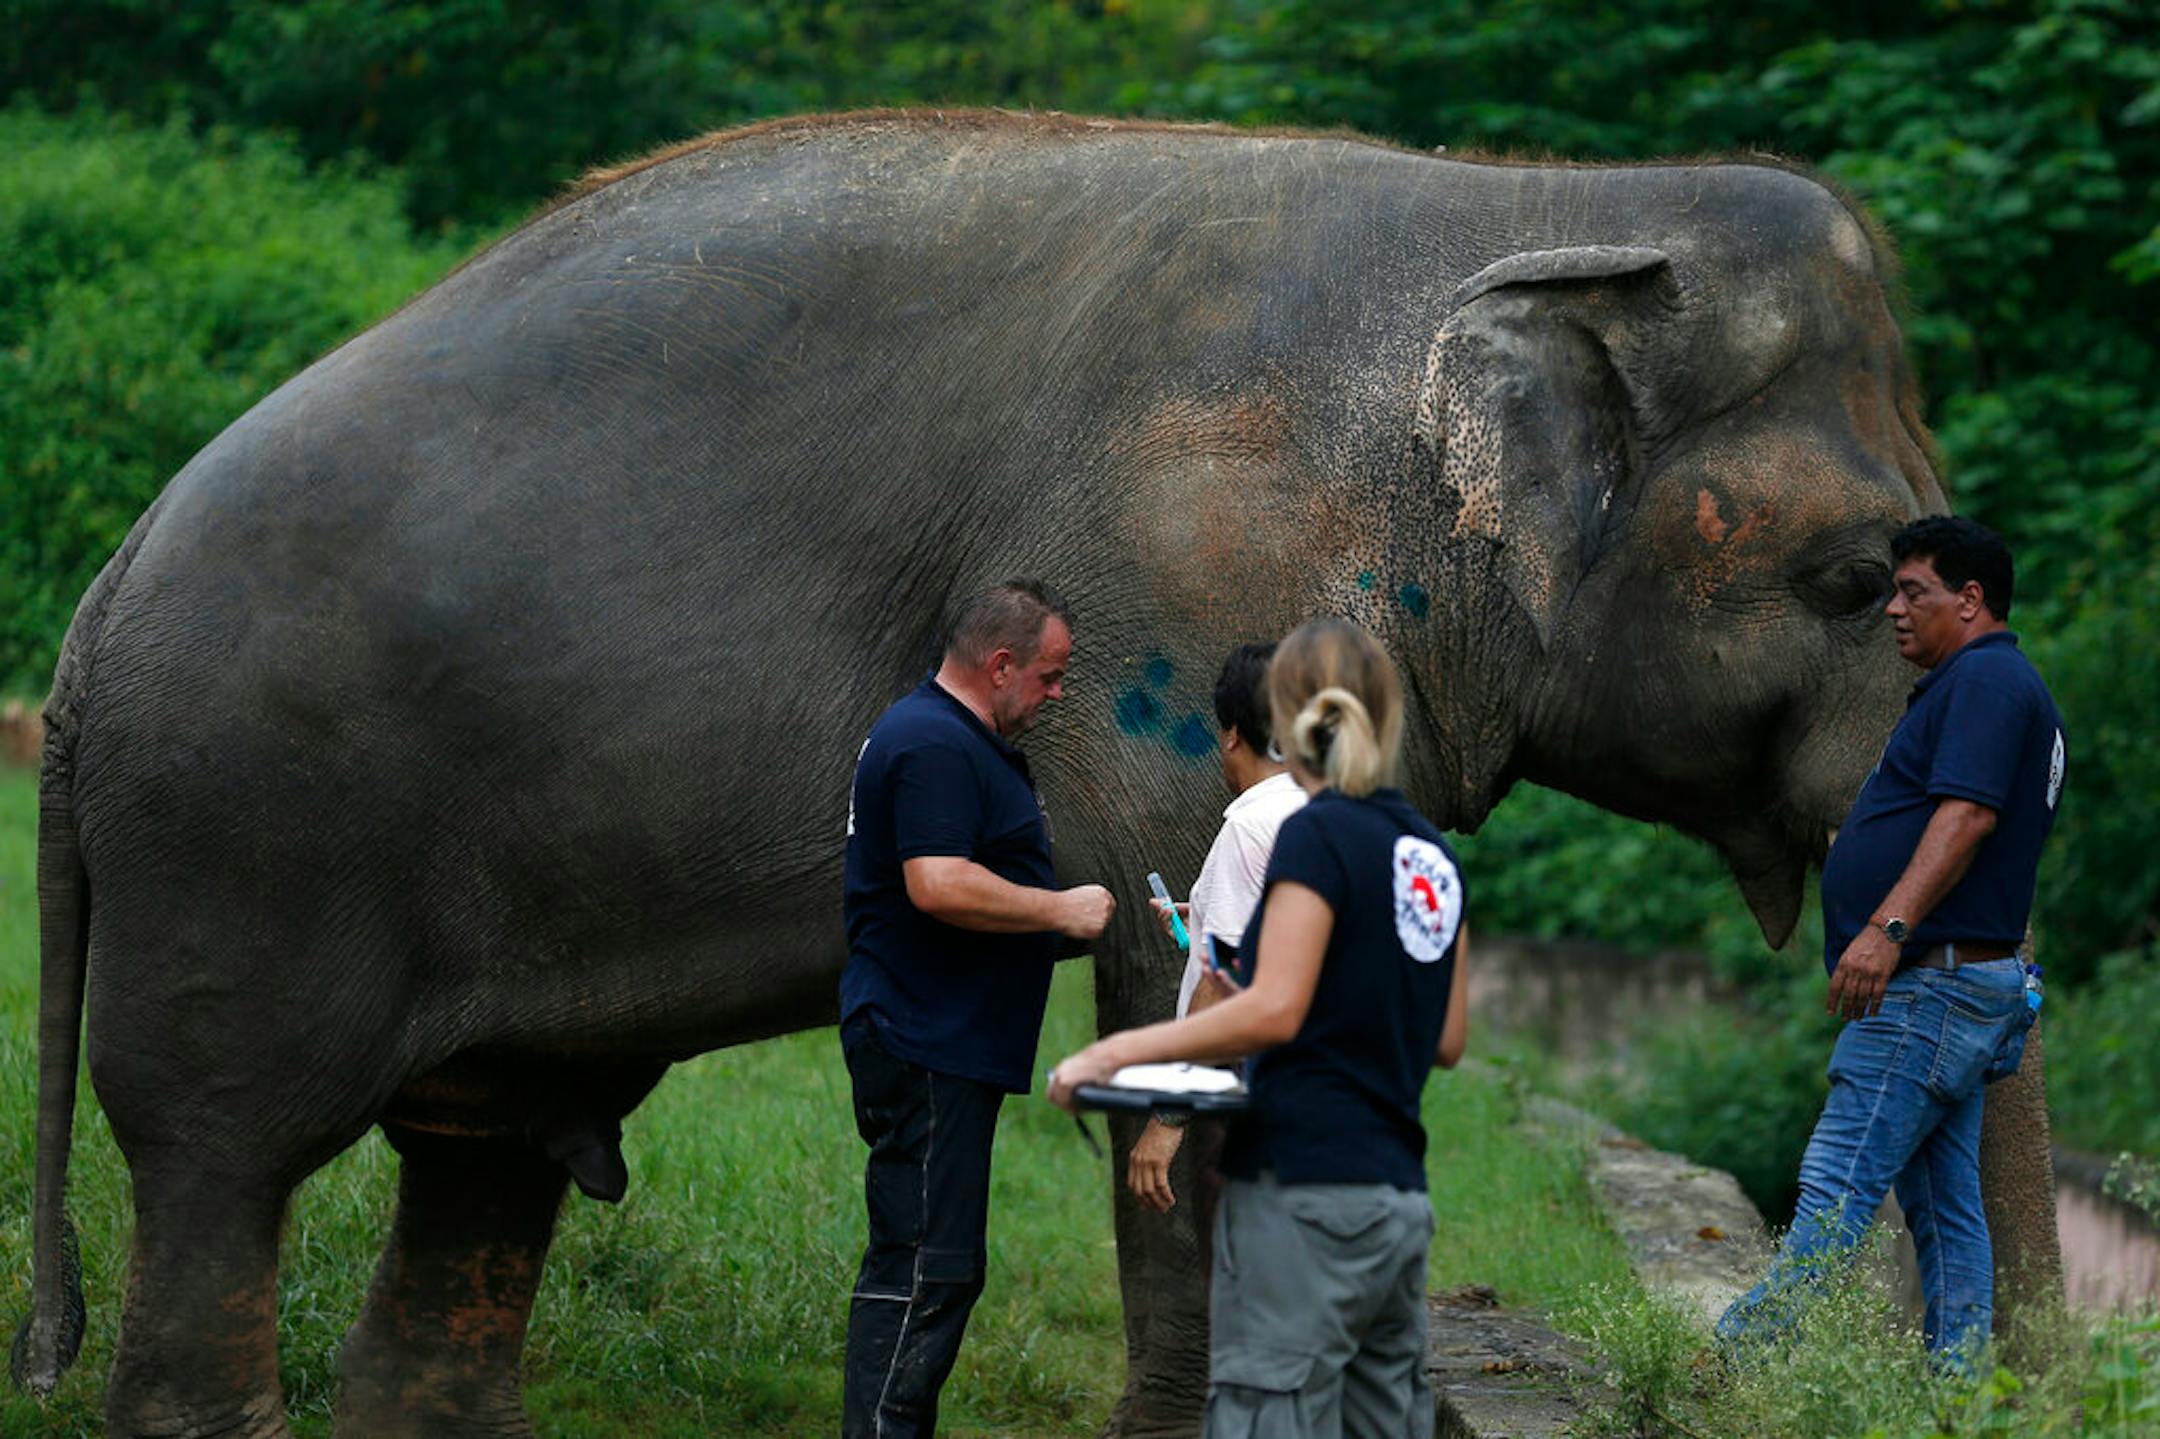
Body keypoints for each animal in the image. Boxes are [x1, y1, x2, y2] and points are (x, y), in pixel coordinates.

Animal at [12, 109, 2058, 1437]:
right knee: (224, 1146)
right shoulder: (1197, 594)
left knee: (478, 1158)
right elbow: (1183, 981)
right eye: (1857, 578)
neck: (1533, 213)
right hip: (249, 839)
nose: (2006, 1394)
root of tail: (94, 608)